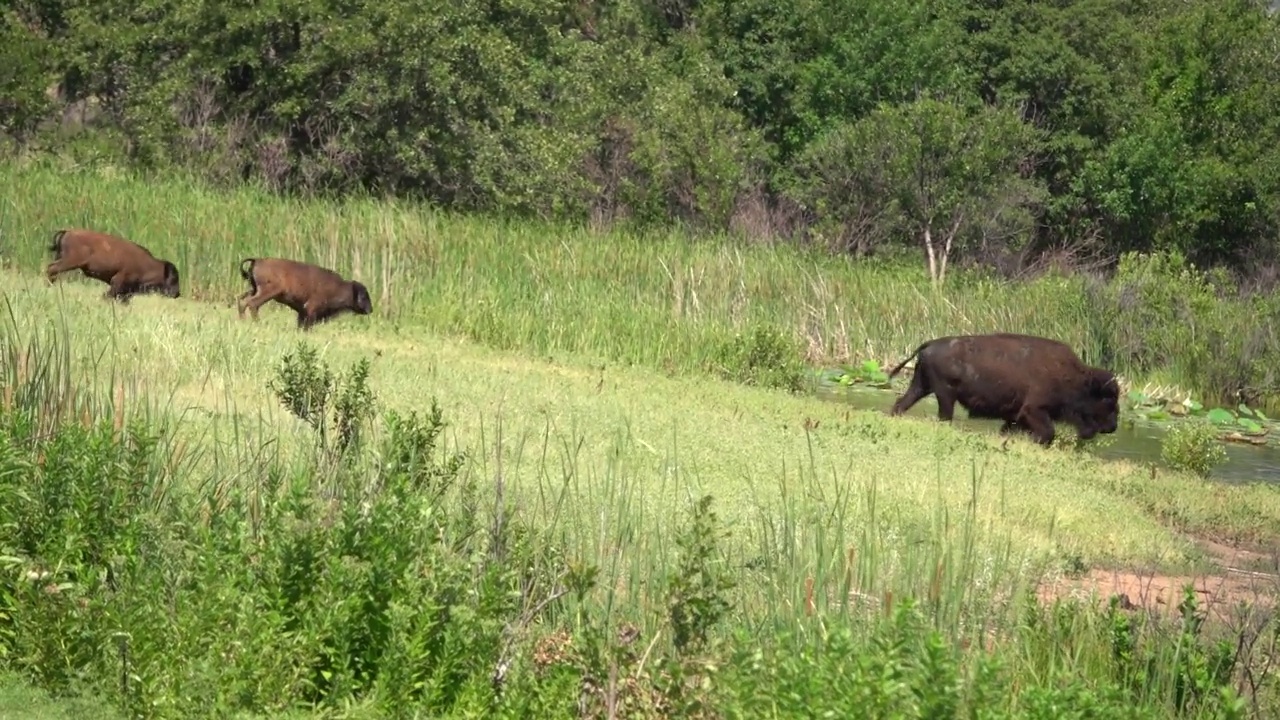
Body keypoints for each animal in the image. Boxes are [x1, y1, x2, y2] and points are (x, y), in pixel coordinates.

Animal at [45, 226, 183, 299]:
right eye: (174, 278)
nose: (177, 293)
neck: (148, 265)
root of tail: (67, 231)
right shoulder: (117, 282)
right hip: (70, 262)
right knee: (51, 269)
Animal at [236, 254, 373, 327]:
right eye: (364, 296)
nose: (370, 310)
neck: (340, 287)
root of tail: (258, 260)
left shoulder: (302, 311)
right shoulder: (311, 309)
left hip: (254, 289)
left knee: (242, 300)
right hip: (268, 292)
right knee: (252, 303)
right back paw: (258, 323)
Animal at [890, 333, 1121, 445]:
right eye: (1108, 399)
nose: (1112, 426)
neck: (1075, 378)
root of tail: (929, 344)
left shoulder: (1016, 416)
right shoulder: (1033, 410)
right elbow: (1048, 432)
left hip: (922, 386)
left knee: (901, 403)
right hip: (945, 395)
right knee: (943, 416)